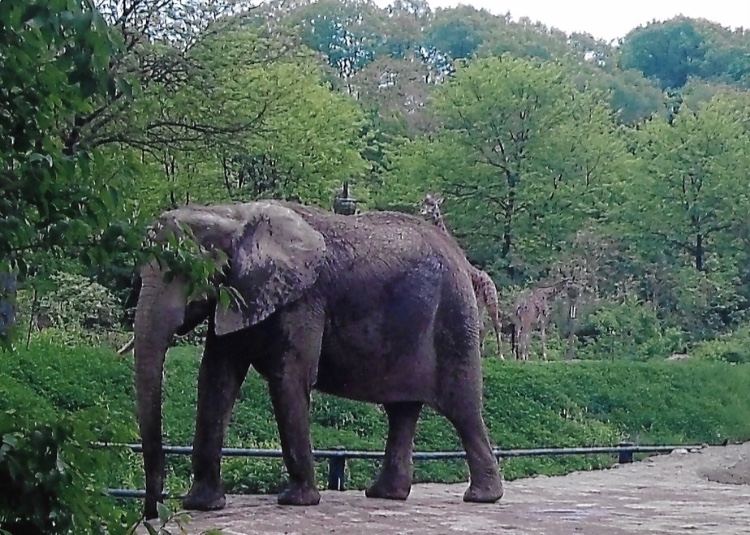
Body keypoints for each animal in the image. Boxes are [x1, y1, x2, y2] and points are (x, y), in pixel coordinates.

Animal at [131, 199, 504, 519]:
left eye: (185, 271)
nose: (153, 512)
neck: (231, 213)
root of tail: (460, 255)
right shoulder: (238, 294)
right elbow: (215, 378)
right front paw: (202, 505)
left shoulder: (304, 298)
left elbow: (288, 379)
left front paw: (296, 502)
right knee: (402, 410)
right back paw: (385, 494)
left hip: (454, 313)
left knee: (462, 407)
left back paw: (482, 497)